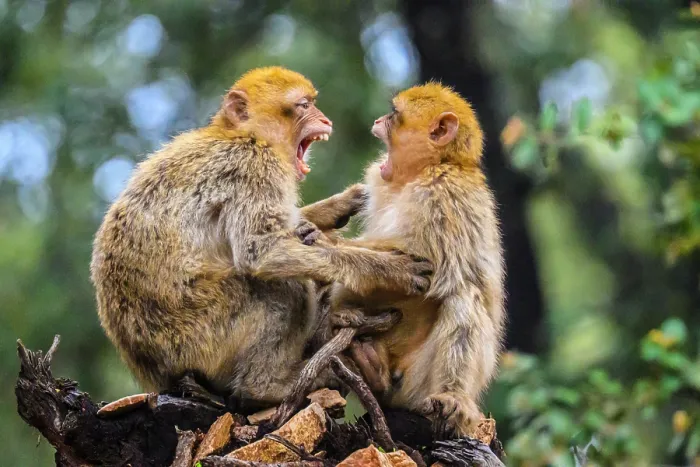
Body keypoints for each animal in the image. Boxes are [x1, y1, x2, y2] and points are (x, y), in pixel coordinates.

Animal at [90, 66, 433, 411]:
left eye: (312, 104)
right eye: (303, 105)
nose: (325, 120)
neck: (242, 134)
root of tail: (154, 373)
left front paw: (333, 208)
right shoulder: (255, 164)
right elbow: (260, 251)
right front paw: (385, 270)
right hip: (195, 338)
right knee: (280, 289)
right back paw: (266, 387)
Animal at [329, 82, 505, 437]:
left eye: (394, 115)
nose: (378, 120)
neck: (429, 169)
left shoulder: (443, 195)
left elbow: (438, 270)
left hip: (416, 385)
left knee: (463, 295)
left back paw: (451, 397)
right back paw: (374, 372)